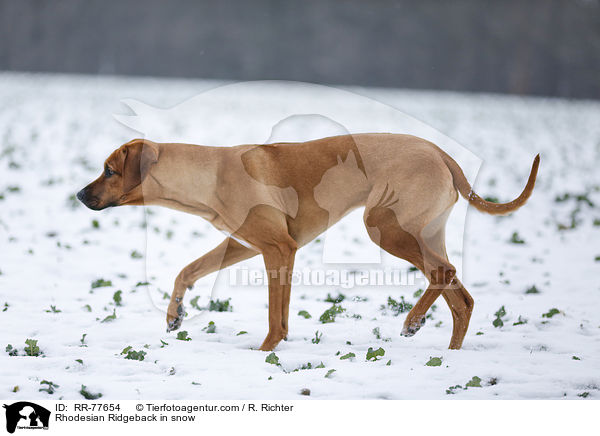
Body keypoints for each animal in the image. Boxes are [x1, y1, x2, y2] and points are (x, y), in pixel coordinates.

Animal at [77, 135, 540, 352]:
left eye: (109, 170)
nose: (80, 195)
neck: (209, 173)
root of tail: (440, 152)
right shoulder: (248, 244)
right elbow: (187, 270)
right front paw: (175, 314)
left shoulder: (278, 248)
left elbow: (275, 315)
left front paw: (267, 349)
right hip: (424, 232)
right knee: (461, 297)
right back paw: (450, 353)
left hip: (384, 226)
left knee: (445, 273)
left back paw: (412, 321)